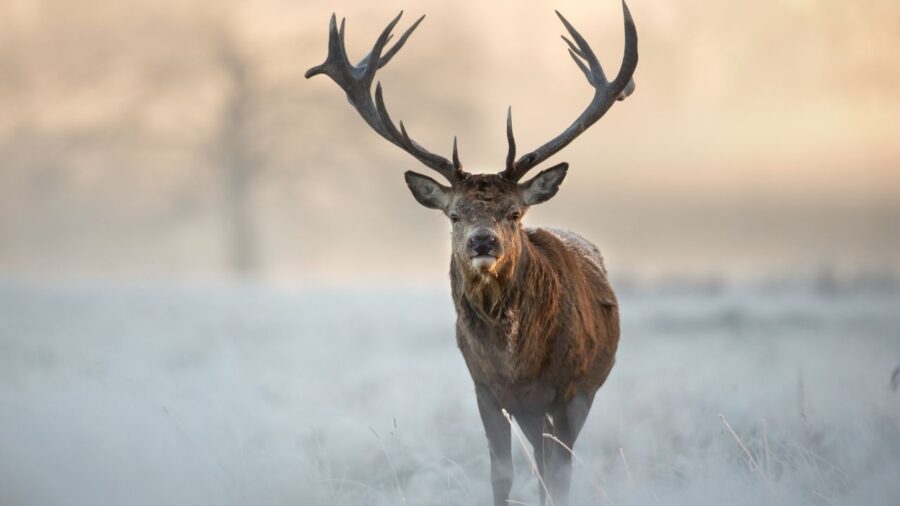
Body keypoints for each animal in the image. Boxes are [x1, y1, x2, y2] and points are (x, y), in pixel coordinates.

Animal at [306, 1, 636, 504]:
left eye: (515, 212)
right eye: (455, 215)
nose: (484, 241)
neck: (517, 365)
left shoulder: (570, 388)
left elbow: (560, 475)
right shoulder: (484, 388)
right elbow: (502, 472)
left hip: (581, 391)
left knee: (552, 465)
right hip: (528, 410)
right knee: (539, 460)